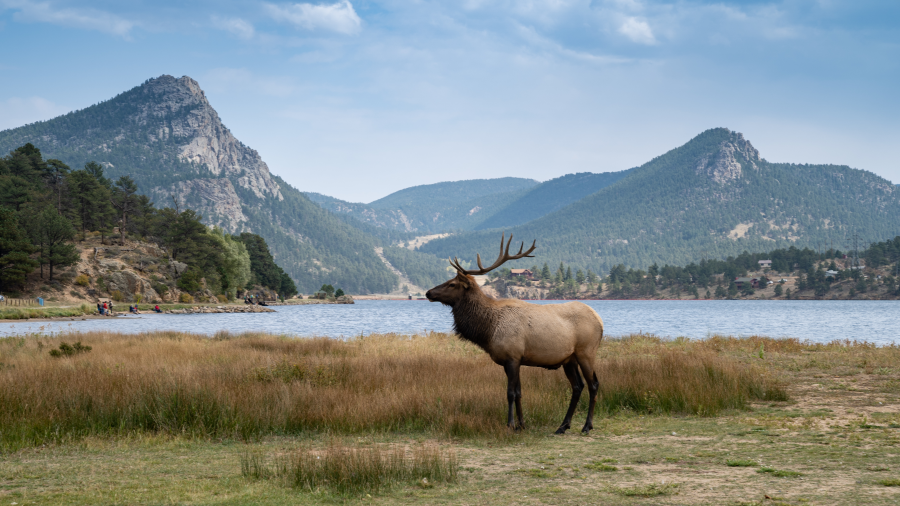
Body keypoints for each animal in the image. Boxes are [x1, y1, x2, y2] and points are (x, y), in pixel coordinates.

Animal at [428, 234, 604, 434]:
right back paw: (563, 426)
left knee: (593, 384)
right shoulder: (515, 359)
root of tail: (600, 321)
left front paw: (510, 424)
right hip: (569, 358)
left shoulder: (512, 356)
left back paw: (587, 426)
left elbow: (510, 393)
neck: (488, 330)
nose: (428, 293)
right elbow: (519, 393)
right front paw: (522, 424)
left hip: (586, 351)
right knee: (577, 386)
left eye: (452, 284)